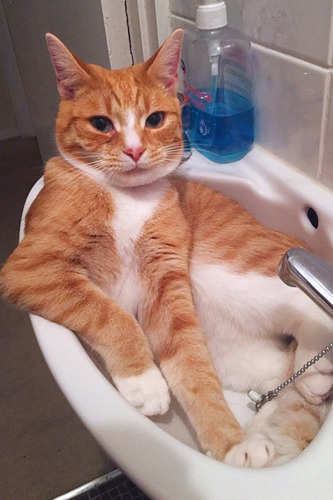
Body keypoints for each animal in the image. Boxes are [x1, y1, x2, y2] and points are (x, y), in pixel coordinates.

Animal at [1, 29, 330, 466]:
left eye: (154, 120)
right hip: (242, 353)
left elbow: (193, 370)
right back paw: (309, 380)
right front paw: (147, 382)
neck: (127, 198)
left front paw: (232, 440)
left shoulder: (167, 278)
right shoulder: (32, 267)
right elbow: (114, 317)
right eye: (101, 124)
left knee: (308, 307)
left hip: (234, 272)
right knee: (283, 370)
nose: (134, 150)